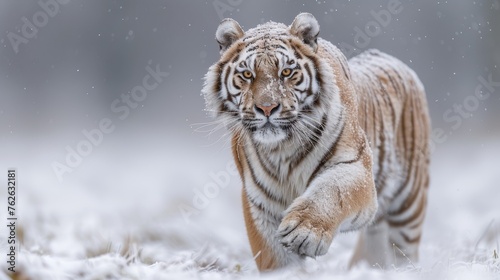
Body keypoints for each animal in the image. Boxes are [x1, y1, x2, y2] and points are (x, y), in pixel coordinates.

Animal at [200, 13, 430, 272]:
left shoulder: (355, 166)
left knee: (404, 251)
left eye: (286, 72)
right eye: (247, 75)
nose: (267, 108)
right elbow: (275, 258)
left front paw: (305, 232)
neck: (282, 147)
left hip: (409, 207)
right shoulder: (260, 203)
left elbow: (331, 191)